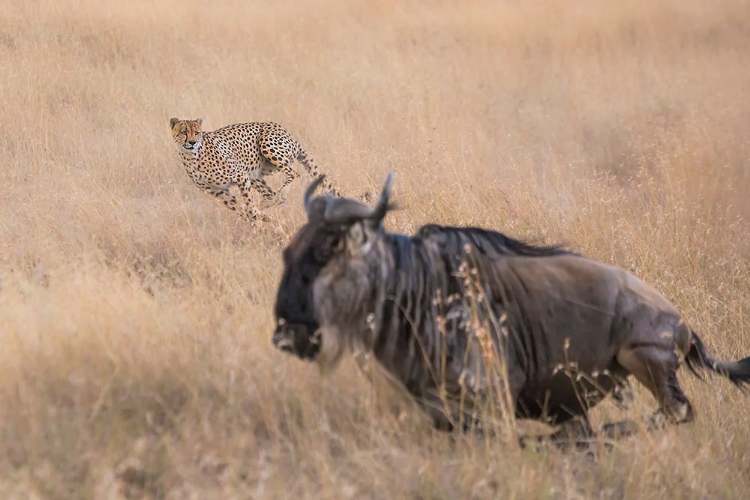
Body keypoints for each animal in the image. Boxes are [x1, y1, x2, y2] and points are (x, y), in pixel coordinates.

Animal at [170, 117, 340, 223]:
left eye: (196, 132)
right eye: (183, 132)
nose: (192, 142)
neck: (193, 157)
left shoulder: (240, 176)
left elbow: (249, 207)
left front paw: (258, 219)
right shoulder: (218, 192)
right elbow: (242, 209)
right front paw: (260, 222)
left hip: (267, 146)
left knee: (293, 173)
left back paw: (280, 195)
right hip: (255, 175)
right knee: (270, 193)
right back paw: (268, 204)